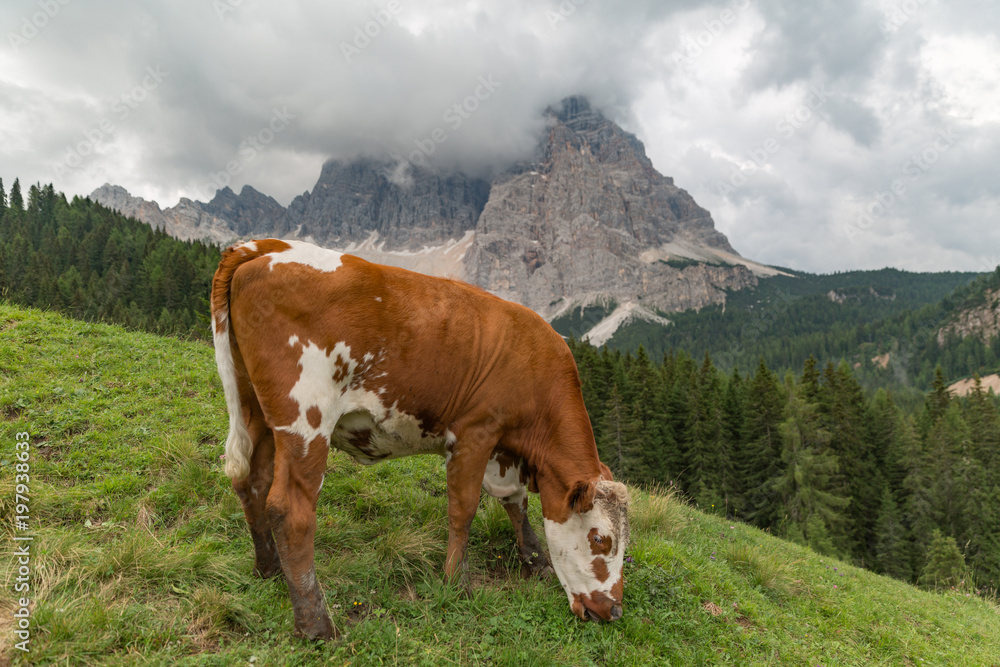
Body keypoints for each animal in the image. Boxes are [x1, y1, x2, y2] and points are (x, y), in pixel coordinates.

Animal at [211, 237, 628, 640]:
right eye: (600, 539)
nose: (613, 611)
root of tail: (265, 246)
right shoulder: (475, 433)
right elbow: (463, 509)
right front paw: (455, 582)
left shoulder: (503, 450)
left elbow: (515, 501)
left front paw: (536, 559)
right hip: (305, 418)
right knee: (289, 509)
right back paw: (315, 624)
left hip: (255, 410)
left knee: (252, 483)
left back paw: (270, 569)